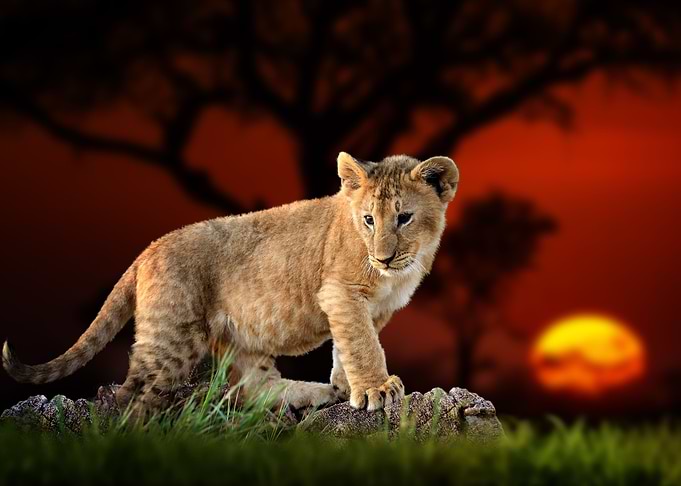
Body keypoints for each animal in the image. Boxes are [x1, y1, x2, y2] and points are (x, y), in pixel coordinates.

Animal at [3, 152, 459, 414]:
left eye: (404, 217)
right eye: (368, 220)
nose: (383, 258)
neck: (401, 268)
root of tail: (148, 249)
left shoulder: (373, 307)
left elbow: (348, 346)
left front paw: (346, 387)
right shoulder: (340, 291)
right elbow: (362, 344)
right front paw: (377, 389)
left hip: (238, 339)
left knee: (252, 387)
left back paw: (311, 393)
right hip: (172, 338)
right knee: (130, 393)